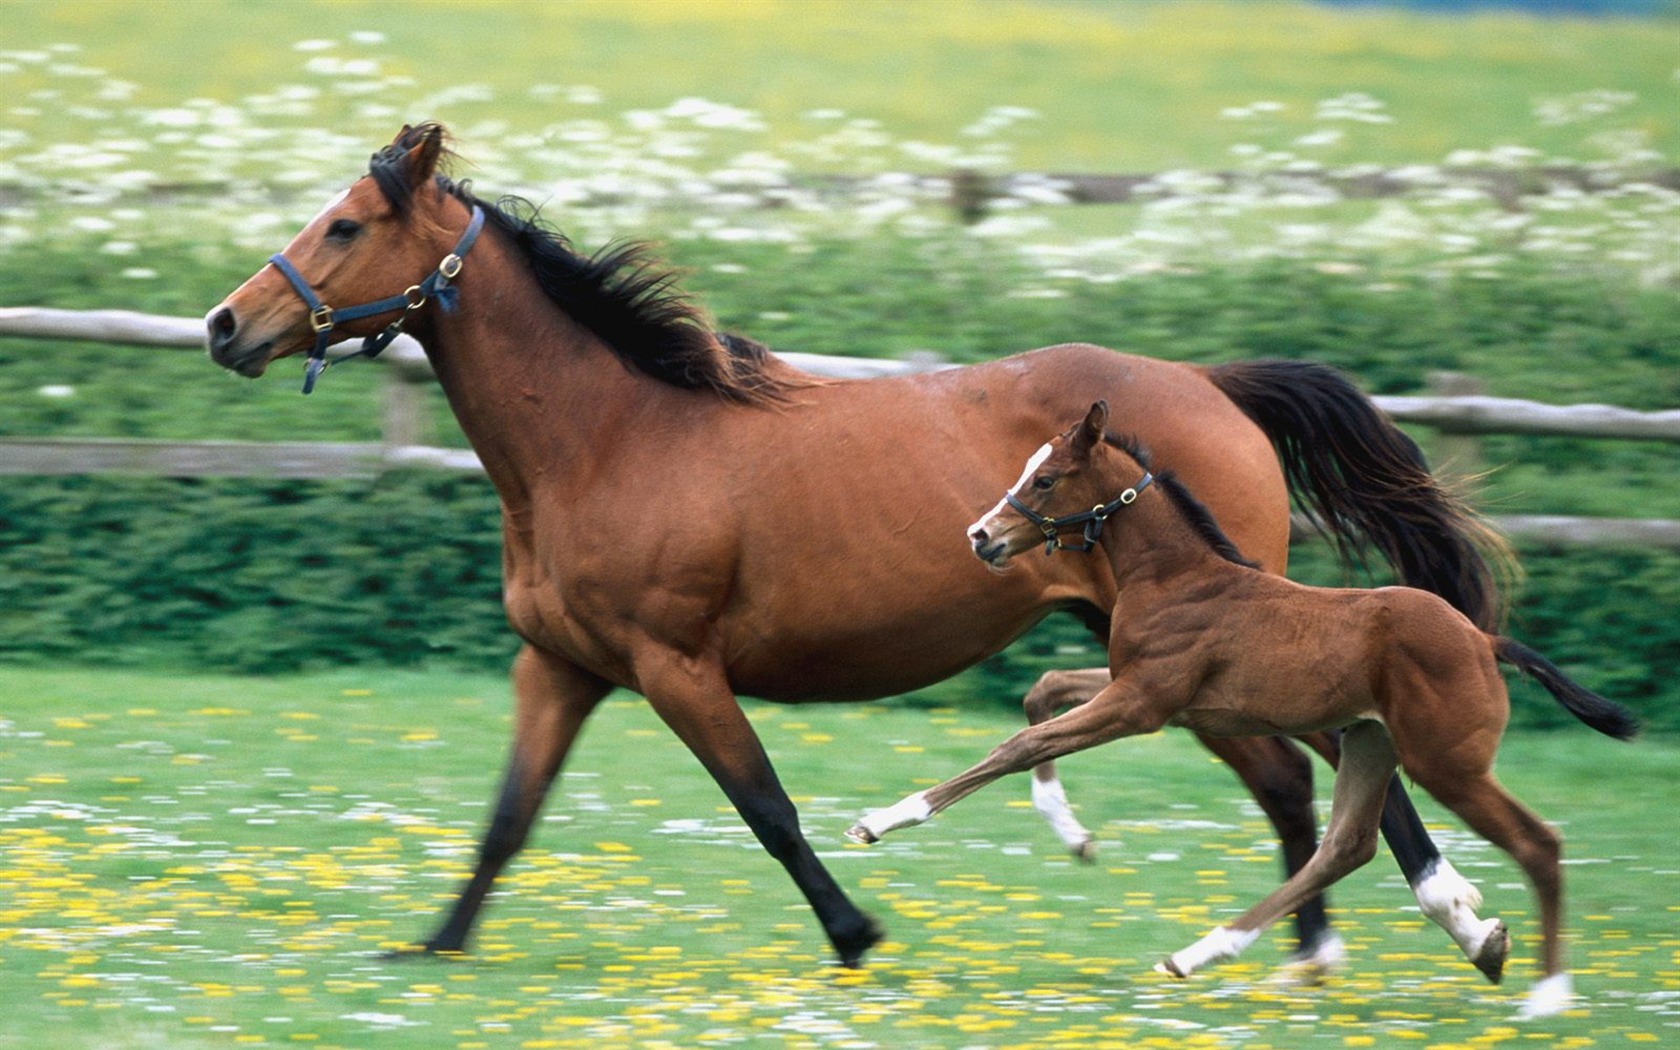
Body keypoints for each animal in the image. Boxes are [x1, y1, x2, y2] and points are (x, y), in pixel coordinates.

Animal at [206, 126, 1512, 981]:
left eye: (345, 225)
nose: (226, 326)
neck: (610, 437)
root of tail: (1212, 383)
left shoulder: (676, 665)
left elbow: (768, 808)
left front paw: (857, 933)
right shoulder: (562, 667)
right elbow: (507, 819)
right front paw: (431, 946)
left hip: (1213, 643)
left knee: (1331, 777)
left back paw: (1433, 925)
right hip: (1163, 650)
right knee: (1299, 780)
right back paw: (1320, 950)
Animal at [846, 401, 1632, 1014]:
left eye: (1043, 478)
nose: (981, 536)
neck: (1177, 575)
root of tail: (1482, 638)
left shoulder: (1141, 704)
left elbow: (1017, 745)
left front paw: (880, 820)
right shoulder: (1144, 691)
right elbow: (1043, 694)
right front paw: (1070, 830)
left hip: (1447, 763)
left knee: (1538, 842)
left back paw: (1547, 995)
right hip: (1370, 742)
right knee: (1346, 846)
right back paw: (1202, 953)